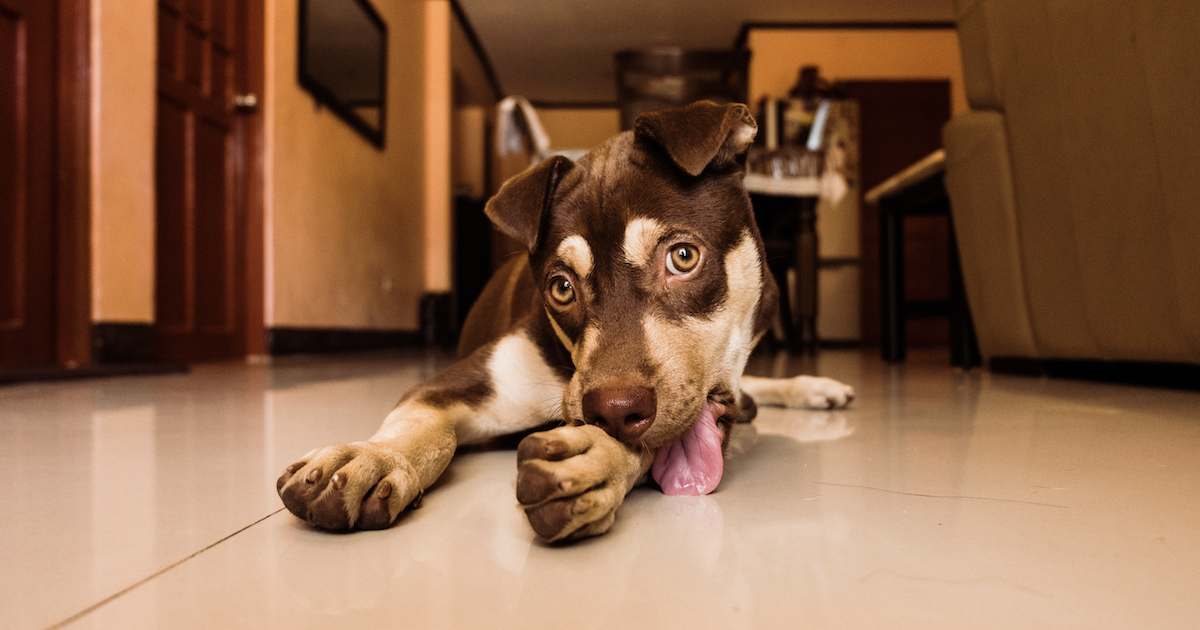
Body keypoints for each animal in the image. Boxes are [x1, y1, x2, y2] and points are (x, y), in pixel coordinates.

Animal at [274, 99, 854, 540]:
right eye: (561, 288)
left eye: (683, 257)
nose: (614, 410)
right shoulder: (455, 383)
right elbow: (422, 426)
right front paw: (371, 457)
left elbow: (647, 438)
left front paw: (593, 460)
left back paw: (811, 386)